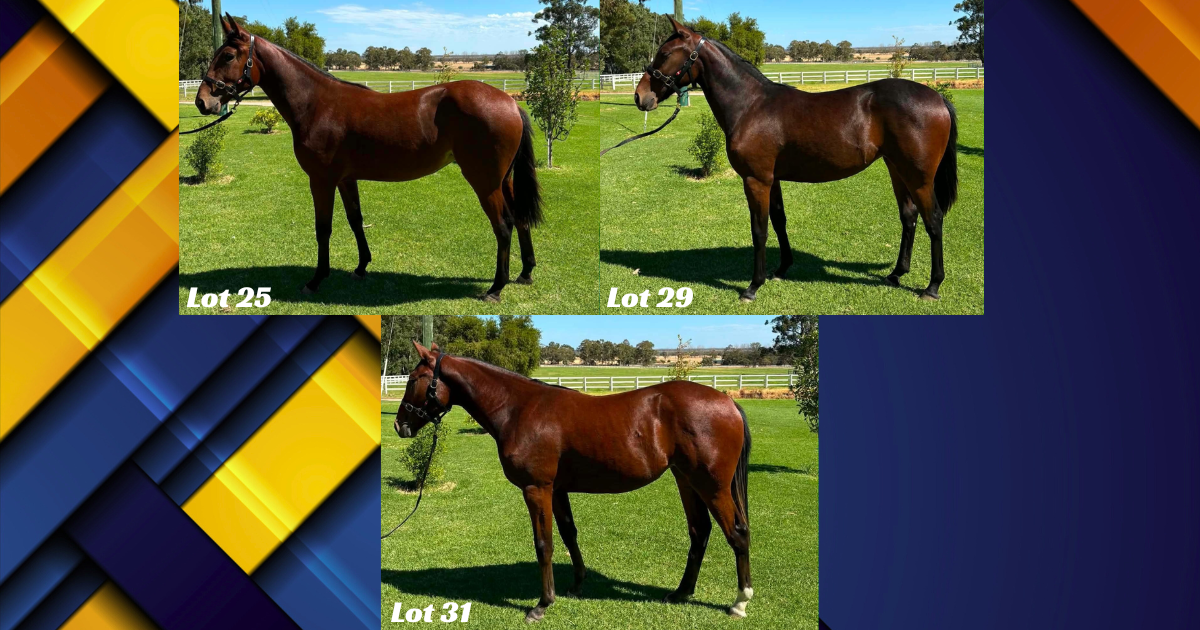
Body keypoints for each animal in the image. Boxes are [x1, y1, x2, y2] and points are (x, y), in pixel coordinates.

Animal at [195, 15, 543, 302]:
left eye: (228, 56)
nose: (202, 101)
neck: (317, 103)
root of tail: (510, 103)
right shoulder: (346, 179)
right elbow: (355, 220)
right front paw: (361, 267)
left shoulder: (321, 180)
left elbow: (324, 228)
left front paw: (316, 280)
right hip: (503, 179)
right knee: (520, 218)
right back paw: (525, 273)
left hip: (484, 181)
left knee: (504, 225)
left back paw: (496, 288)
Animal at [394, 341, 753, 622]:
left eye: (413, 379)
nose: (399, 425)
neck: (518, 409)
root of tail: (727, 401)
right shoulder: (557, 489)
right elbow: (569, 534)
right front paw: (576, 585)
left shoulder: (536, 488)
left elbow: (544, 543)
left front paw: (541, 604)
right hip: (686, 480)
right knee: (700, 532)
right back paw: (680, 593)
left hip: (712, 486)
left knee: (736, 533)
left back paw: (740, 602)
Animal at [634, 17, 959, 302]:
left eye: (664, 54)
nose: (640, 97)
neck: (751, 105)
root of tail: (938, 98)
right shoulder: (772, 179)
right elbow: (779, 221)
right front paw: (781, 269)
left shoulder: (755, 180)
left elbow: (759, 230)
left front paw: (753, 286)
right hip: (897, 169)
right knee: (909, 216)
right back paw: (896, 273)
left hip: (919, 177)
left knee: (933, 220)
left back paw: (932, 286)